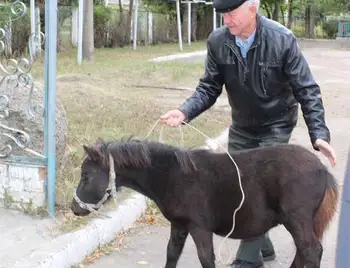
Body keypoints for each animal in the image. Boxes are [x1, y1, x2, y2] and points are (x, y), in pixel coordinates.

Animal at [70, 137, 340, 266]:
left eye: (85, 175)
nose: (74, 208)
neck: (173, 176)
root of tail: (322, 170)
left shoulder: (199, 227)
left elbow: (205, 258)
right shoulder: (179, 225)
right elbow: (171, 254)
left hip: (297, 219)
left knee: (311, 251)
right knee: (304, 252)